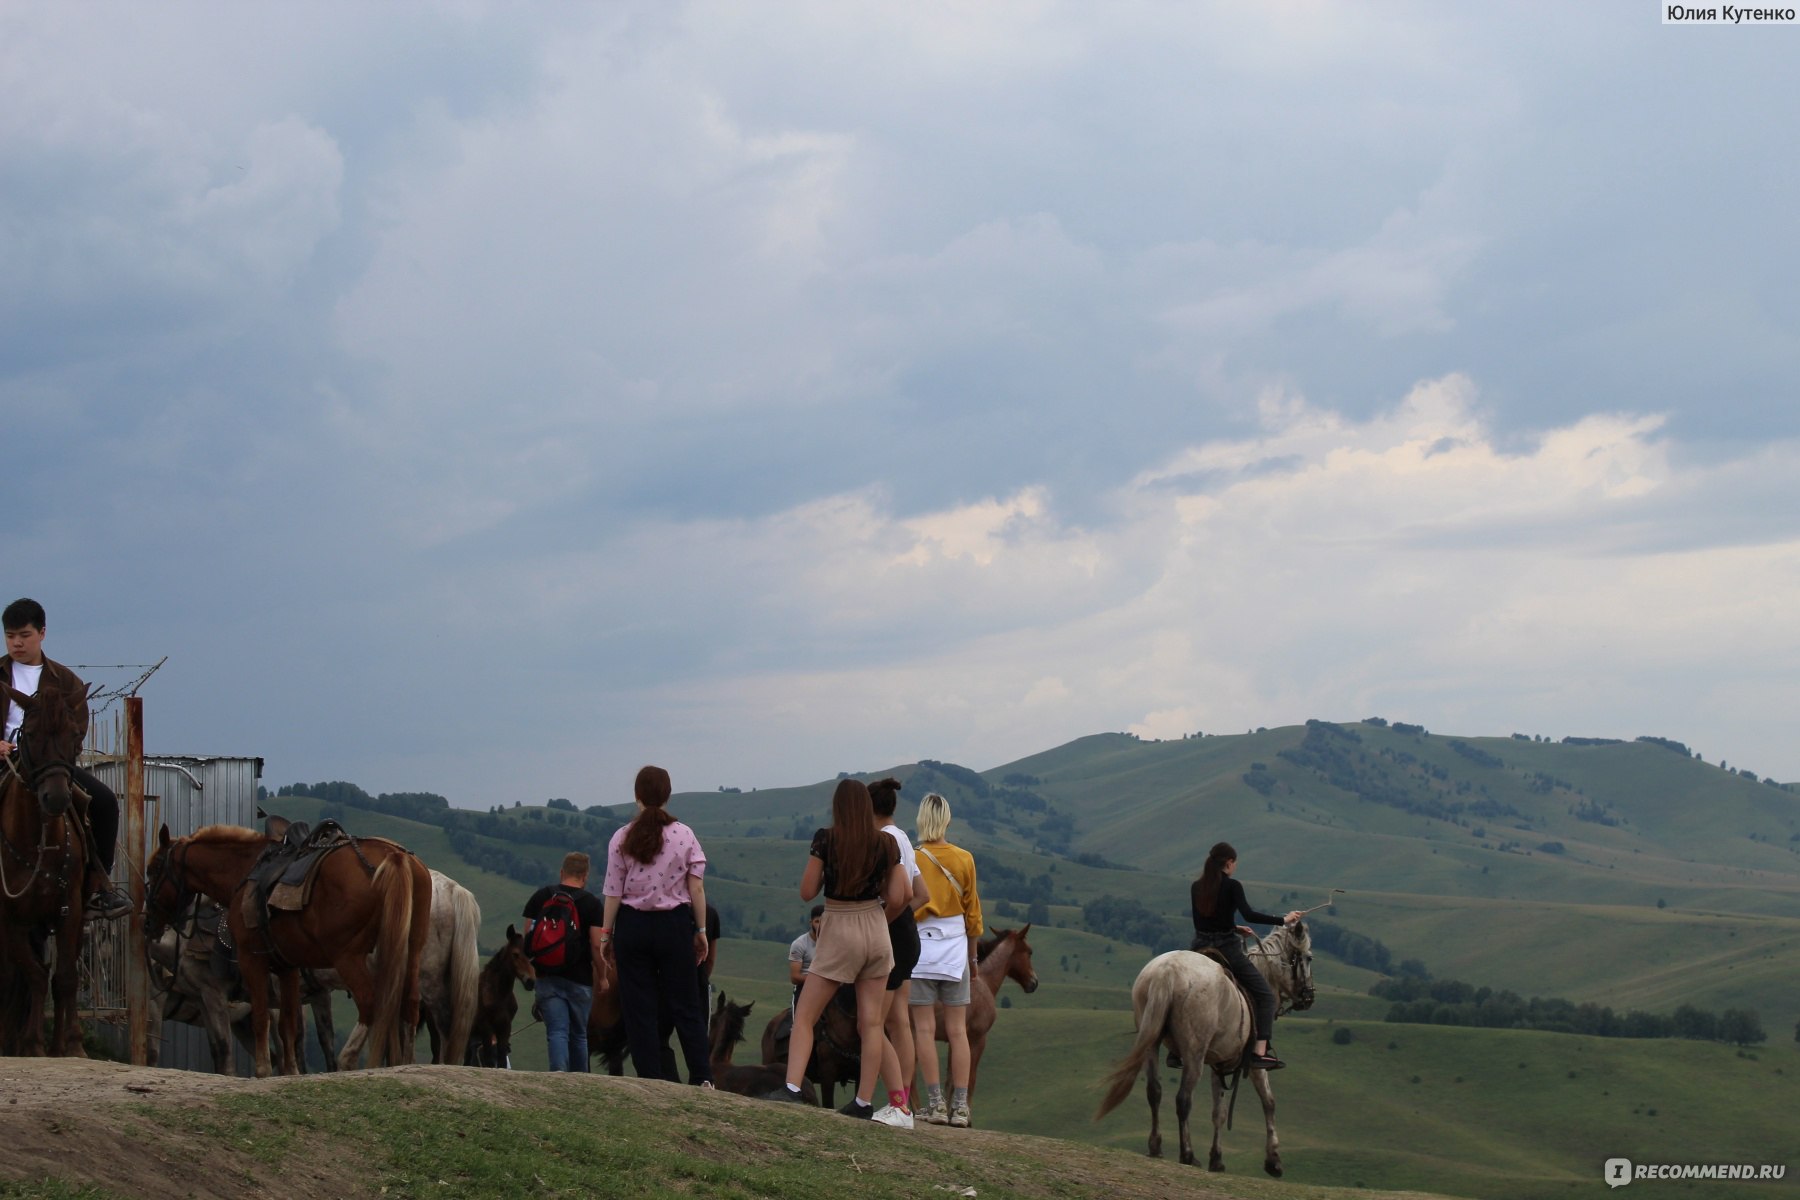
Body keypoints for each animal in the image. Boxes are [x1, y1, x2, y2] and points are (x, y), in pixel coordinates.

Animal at [144, 827, 432, 1079]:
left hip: (347, 957)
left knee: (372, 1004)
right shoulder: (288, 967)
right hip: (411, 951)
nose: (149, 921)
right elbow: (288, 1024)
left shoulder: (249, 962)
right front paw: (291, 1071)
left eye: (154, 869)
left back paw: (350, 1059)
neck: (243, 871)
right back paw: (405, 1063)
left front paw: (262, 1070)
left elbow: (260, 1019)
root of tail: (395, 857)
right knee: (409, 1005)